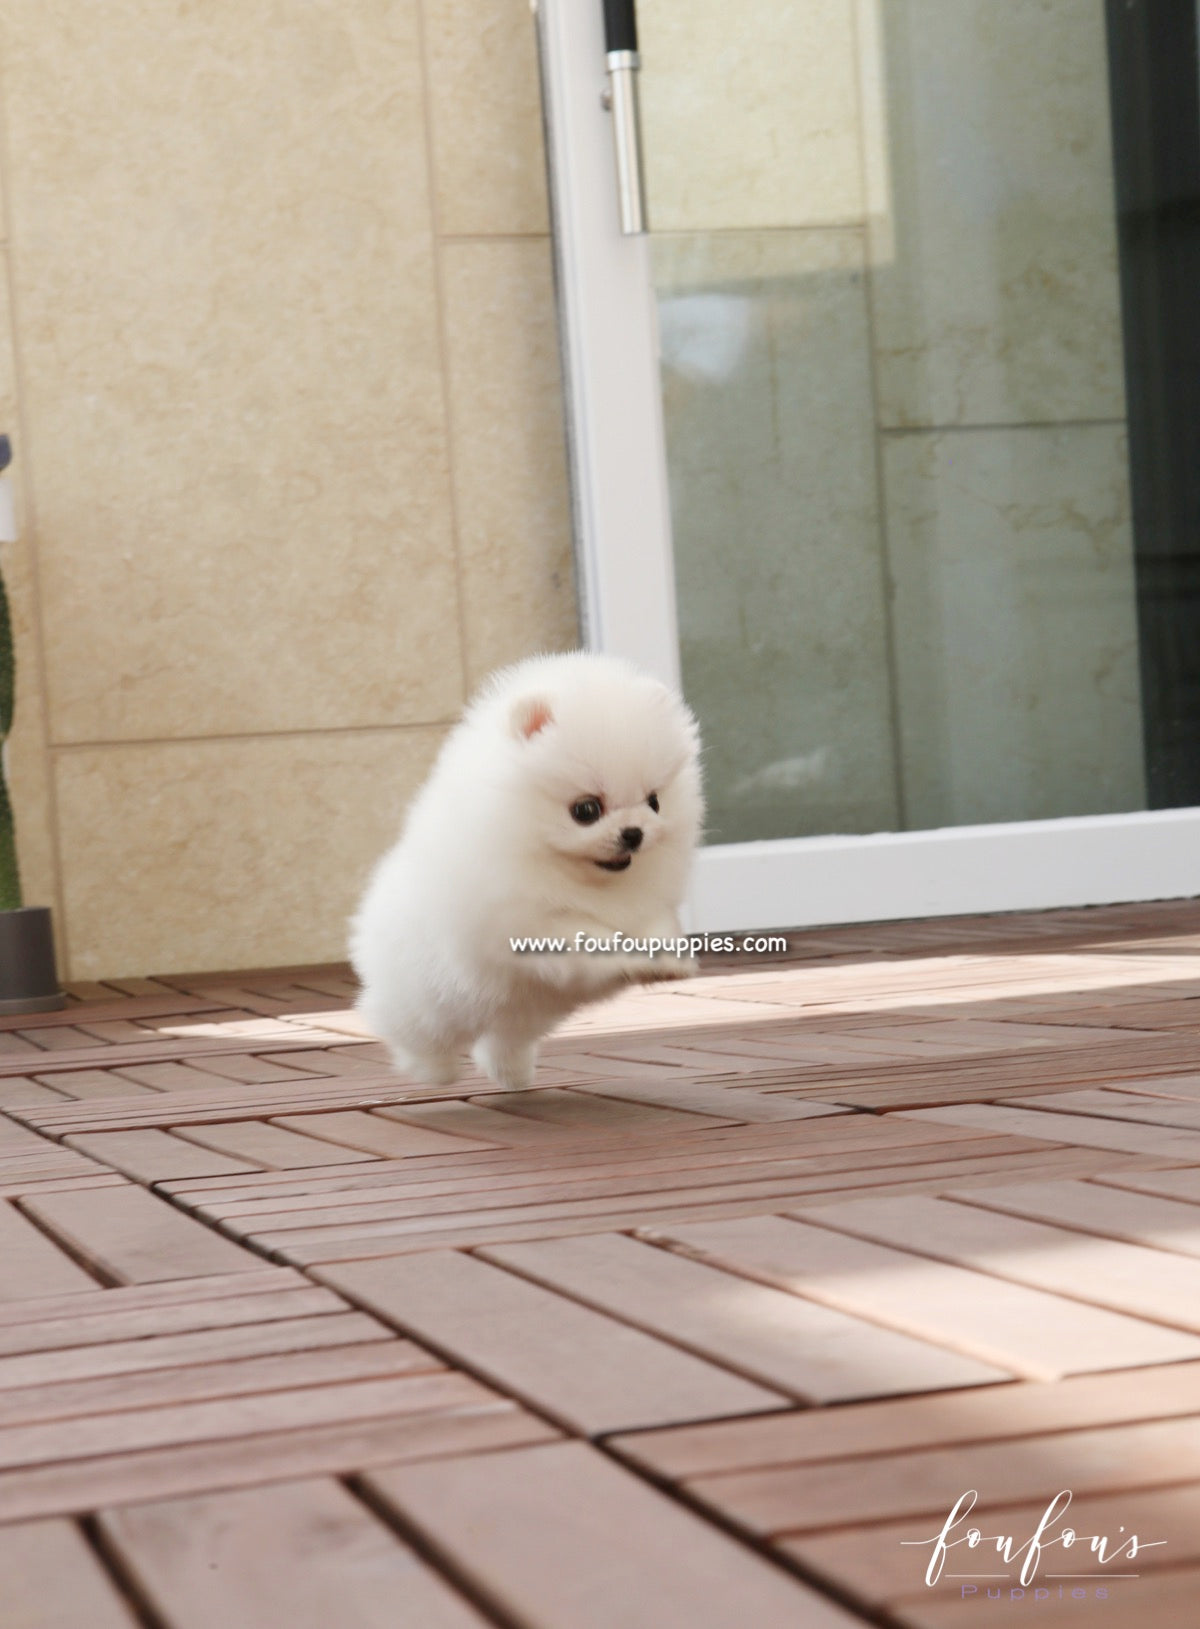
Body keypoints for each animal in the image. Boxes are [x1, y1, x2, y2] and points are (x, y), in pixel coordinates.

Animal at [346, 641, 703, 1088]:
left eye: (654, 801)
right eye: (586, 810)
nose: (634, 832)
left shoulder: (647, 905)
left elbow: (657, 927)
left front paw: (669, 963)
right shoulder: (533, 920)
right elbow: (590, 937)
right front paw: (629, 958)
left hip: (522, 1014)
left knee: (502, 1040)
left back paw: (511, 1074)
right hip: (427, 997)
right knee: (408, 1029)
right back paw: (432, 1072)